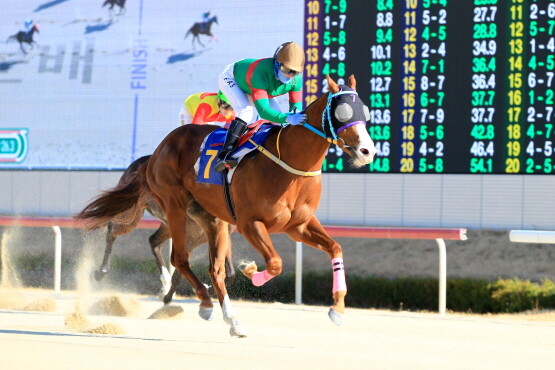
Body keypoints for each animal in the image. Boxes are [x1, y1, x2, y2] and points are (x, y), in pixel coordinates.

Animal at [75, 154, 235, 304]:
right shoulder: (191, 238)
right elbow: (181, 271)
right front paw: (169, 296)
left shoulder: (218, 237)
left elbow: (229, 273)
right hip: (131, 215)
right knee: (112, 230)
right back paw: (101, 271)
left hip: (166, 225)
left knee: (153, 241)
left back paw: (164, 284)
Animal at [146, 74, 376, 336]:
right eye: (343, 112)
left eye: (365, 111)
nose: (367, 151)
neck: (289, 163)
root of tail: (165, 143)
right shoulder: (250, 223)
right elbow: (275, 263)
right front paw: (250, 271)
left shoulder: (298, 225)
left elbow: (335, 248)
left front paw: (337, 308)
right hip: (175, 206)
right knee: (179, 258)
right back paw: (202, 301)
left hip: (212, 218)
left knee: (215, 269)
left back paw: (230, 319)